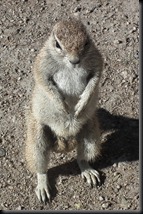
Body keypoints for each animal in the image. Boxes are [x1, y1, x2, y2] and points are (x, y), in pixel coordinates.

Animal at [25, 18, 103, 202]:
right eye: (57, 44)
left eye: (86, 43)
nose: (75, 61)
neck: (71, 67)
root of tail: (65, 142)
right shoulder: (42, 64)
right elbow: (44, 81)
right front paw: (62, 105)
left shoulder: (96, 60)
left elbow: (95, 79)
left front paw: (82, 103)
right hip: (37, 136)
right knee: (40, 164)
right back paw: (42, 185)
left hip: (91, 133)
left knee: (82, 157)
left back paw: (88, 171)